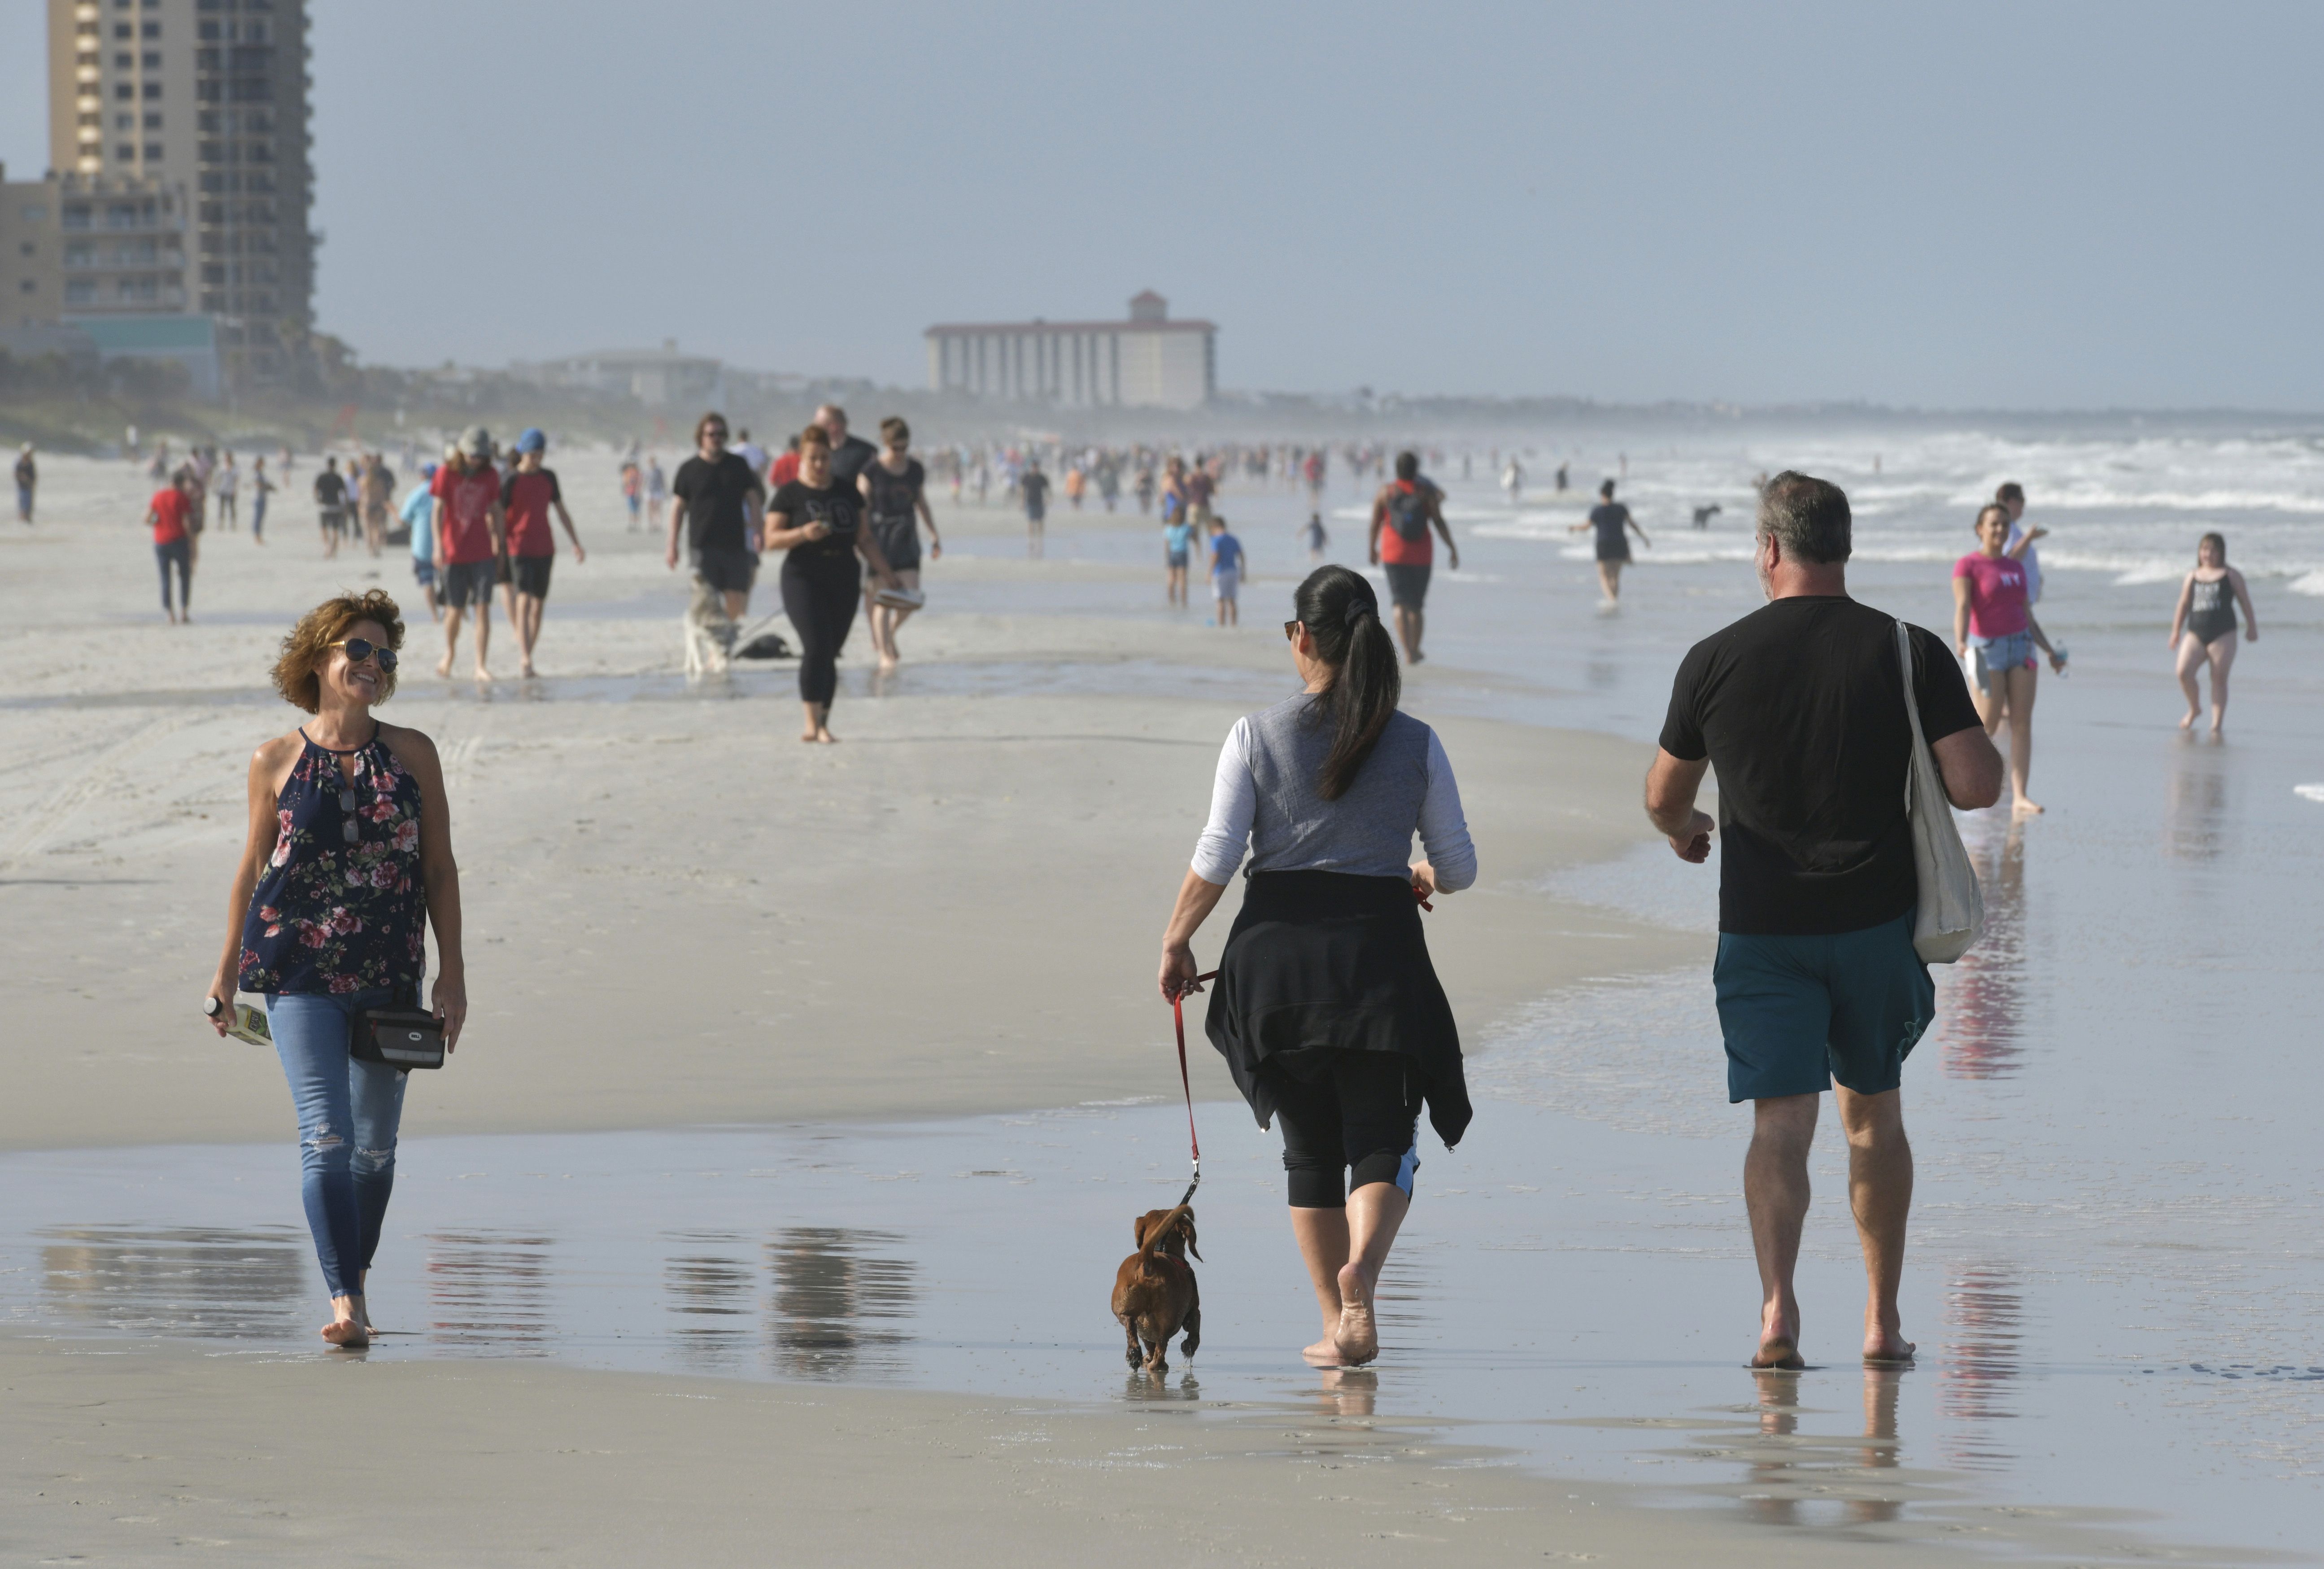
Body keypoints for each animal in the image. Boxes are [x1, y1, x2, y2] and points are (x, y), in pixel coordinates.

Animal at [1115, 1199, 1208, 1376]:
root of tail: (1147, 1260)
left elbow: (1148, 1343)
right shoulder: (1195, 1309)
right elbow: (1195, 1329)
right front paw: (1189, 1346)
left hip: (1124, 1309)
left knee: (1130, 1327)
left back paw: (1134, 1356)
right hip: (1169, 1319)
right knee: (1161, 1348)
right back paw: (1159, 1365)